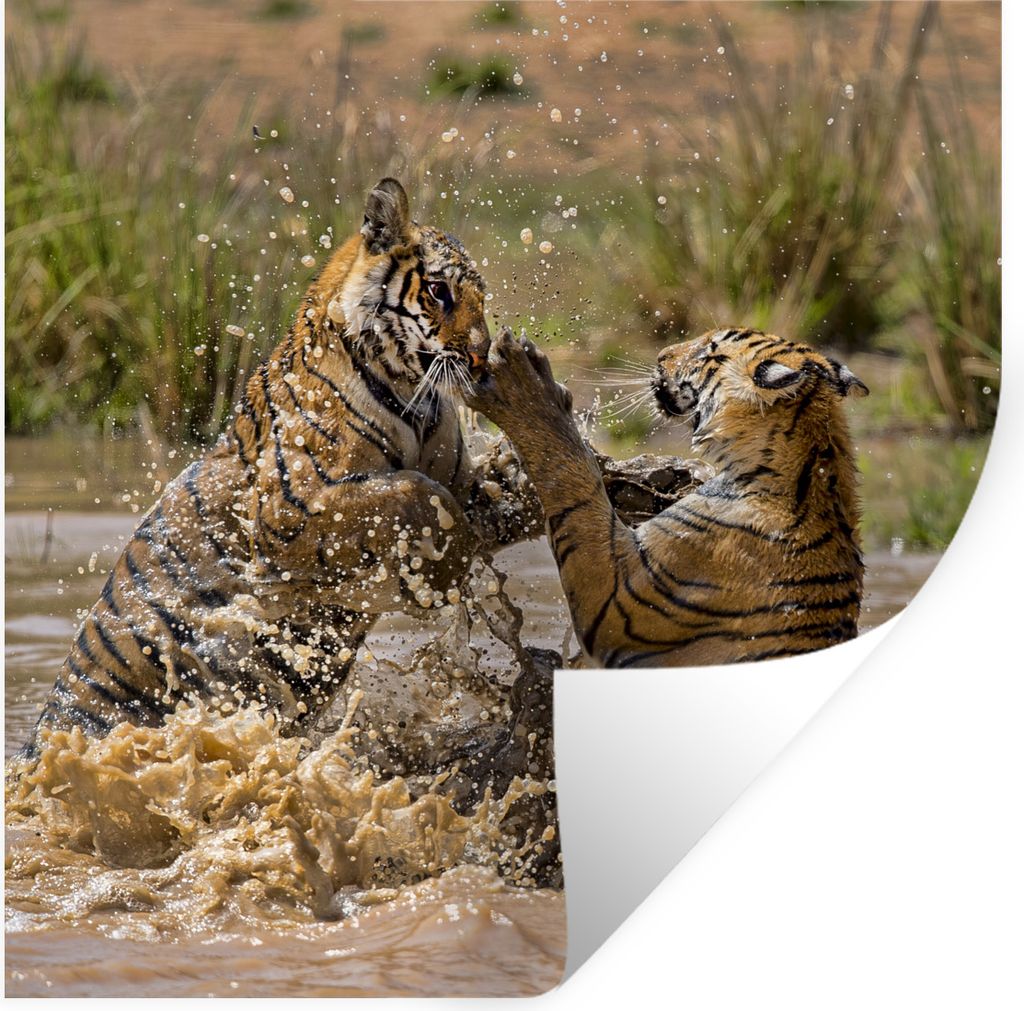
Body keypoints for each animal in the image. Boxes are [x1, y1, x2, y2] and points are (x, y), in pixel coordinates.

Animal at [21, 178, 542, 754]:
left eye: (481, 297)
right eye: (438, 291)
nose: (481, 357)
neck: (415, 397)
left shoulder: (457, 476)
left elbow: (477, 494)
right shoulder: (289, 510)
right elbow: (415, 494)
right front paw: (445, 571)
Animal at [465, 325, 869, 668]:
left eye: (708, 350)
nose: (661, 356)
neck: (813, 464)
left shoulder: (617, 602)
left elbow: (571, 472)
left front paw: (524, 381)